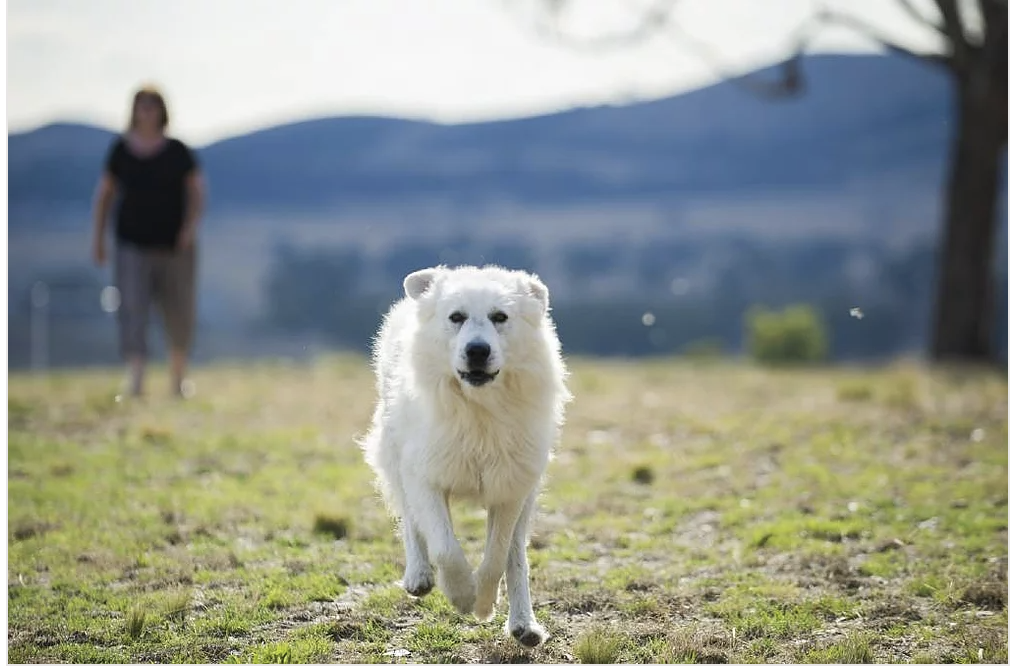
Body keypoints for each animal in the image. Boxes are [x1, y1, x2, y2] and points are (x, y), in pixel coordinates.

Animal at [359, 264, 573, 646]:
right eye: (456, 317)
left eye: (500, 317)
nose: (477, 351)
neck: (478, 408)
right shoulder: (425, 475)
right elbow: (445, 547)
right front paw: (460, 595)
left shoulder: (510, 486)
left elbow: (498, 556)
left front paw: (484, 604)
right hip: (394, 454)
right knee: (409, 518)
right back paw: (419, 576)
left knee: (516, 553)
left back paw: (524, 625)